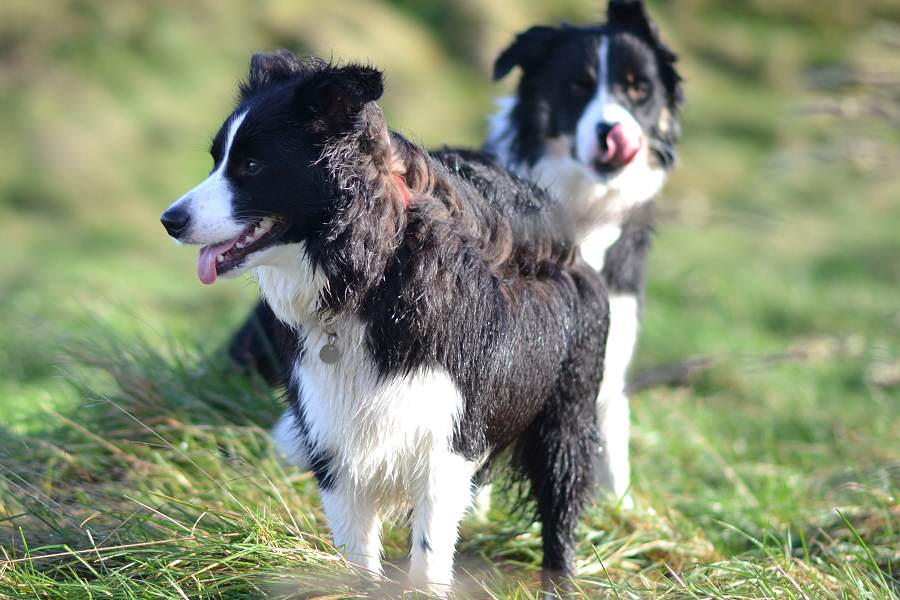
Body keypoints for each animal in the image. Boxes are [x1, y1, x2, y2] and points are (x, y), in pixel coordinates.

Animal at [162, 50, 612, 592]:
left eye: (251, 165)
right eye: (216, 160)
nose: (169, 220)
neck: (370, 273)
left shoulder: (448, 432)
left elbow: (431, 547)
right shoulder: (331, 430)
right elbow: (357, 549)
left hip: (567, 406)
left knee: (561, 500)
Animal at [486, 0, 684, 506]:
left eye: (638, 88)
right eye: (576, 86)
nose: (611, 131)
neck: (586, 208)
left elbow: (612, 435)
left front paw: (623, 511)